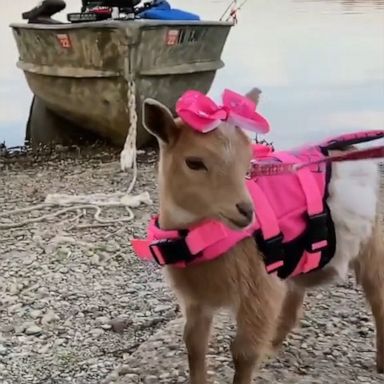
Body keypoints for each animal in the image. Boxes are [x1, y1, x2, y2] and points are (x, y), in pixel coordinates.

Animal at [141, 91, 384, 384]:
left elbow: (244, 353)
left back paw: (381, 362)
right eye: (194, 162)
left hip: (372, 240)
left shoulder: (259, 288)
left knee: (378, 296)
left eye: (247, 161)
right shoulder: (197, 298)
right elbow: (193, 343)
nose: (246, 211)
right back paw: (274, 345)